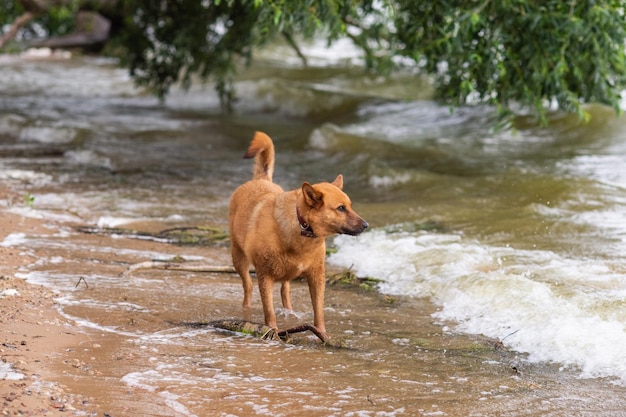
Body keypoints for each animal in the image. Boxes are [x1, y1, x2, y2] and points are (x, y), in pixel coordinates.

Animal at [228, 132, 366, 340]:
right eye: (341, 208)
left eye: (350, 205)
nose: (366, 225)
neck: (302, 230)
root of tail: (261, 179)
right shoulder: (264, 275)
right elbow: (269, 310)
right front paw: (273, 331)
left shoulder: (317, 276)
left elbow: (318, 310)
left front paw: (322, 334)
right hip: (239, 258)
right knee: (248, 287)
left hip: (285, 272)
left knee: (285, 289)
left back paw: (289, 311)